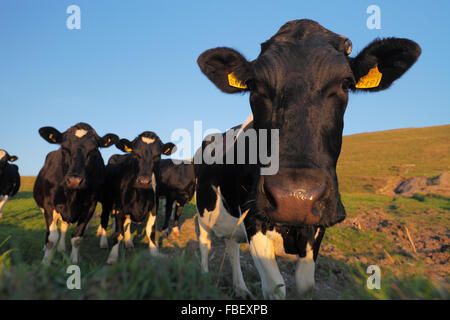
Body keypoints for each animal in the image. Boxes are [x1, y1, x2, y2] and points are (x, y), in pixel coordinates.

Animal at [33, 121, 118, 264]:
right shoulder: (49, 205)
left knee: (64, 227)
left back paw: (62, 248)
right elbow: (51, 238)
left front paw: (74, 261)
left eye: (94, 150)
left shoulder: (90, 206)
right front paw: (45, 262)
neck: (72, 194)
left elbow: (77, 237)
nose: (74, 180)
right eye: (64, 147)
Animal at [96, 131, 176, 264]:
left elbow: (150, 230)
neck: (141, 196)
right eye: (135, 154)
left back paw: (129, 243)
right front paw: (113, 256)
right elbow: (118, 233)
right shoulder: (119, 208)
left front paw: (154, 252)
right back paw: (103, 242)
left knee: (127, 223)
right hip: (106, 201)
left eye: (157, 155)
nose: (144, 181)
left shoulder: (154, 207)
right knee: (104, 219)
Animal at [195, 18, 420, 298]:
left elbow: (305, 285)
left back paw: (241, 288)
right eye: (253, 85)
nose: (295, 199)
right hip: (203, 208)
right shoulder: (254, 218)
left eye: (346, 82)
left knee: (230, 245)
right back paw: (204, 278)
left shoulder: (317, 226)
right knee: (205, 242)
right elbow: (276, 287)